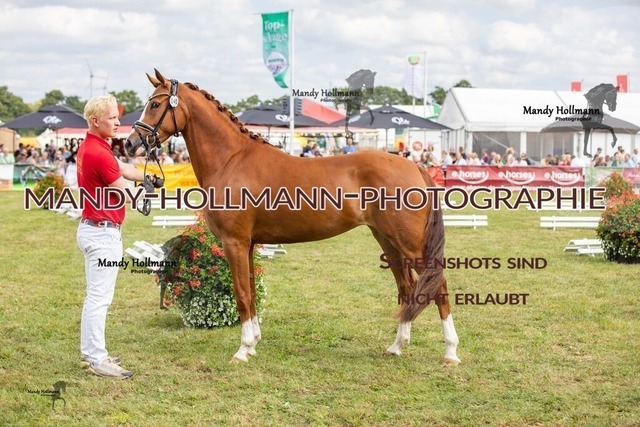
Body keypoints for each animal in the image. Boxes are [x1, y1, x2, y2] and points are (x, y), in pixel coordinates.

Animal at [125, 69, 460, 365]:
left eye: (155, 104)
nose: (130, 143)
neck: (231, 160)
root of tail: (413, 165)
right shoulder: (248, 245)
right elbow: (250, 293)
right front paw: (253, 344)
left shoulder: (234, 243)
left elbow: (241, 294)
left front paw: (242, 351)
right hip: (388, 242)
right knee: (407, 289)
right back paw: (396, 346)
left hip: (409, 244)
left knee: (438, 286)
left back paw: (450, 353)